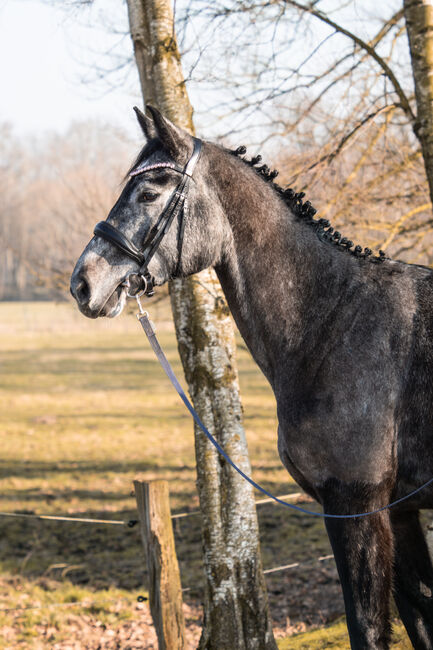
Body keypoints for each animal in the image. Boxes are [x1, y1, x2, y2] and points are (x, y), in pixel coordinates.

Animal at [71, 104, 432, 644]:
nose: (83, 282)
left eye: (150, 191)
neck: (334, 318)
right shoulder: (401, 511)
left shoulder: (356, 506)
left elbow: (367, 627)